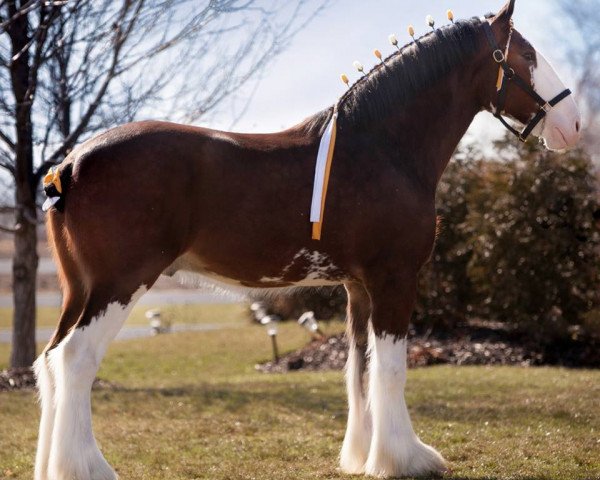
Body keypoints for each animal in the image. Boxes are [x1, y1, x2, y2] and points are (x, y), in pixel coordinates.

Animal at [35, 1, 580, 478]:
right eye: (525, 57)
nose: (573, 125)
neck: (381, 148)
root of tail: (70, 165)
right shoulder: (394, 279)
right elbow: (392, 369)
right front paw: (406, 458)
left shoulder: (358, 287)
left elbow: (359, 367)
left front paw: (363, 456)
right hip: (120, 285)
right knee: (76, 360)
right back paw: (88, 468)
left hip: (78, 290)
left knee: (50, 363)